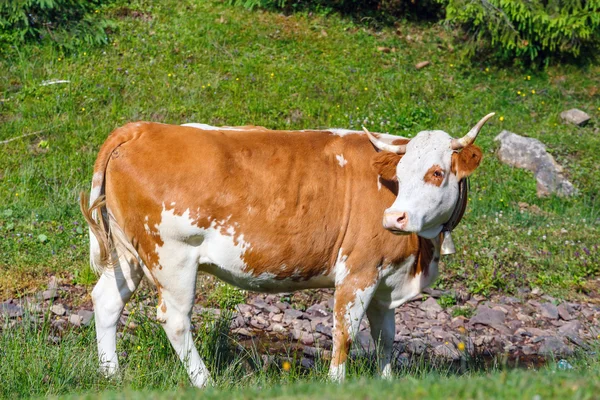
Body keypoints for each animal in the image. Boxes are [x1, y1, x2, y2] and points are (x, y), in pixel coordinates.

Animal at [78, 113, 492, 388]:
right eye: (400, 174)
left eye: (436, 172)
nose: (394, 217)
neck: (420, 256)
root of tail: (142, 128)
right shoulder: (358, 270)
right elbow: (345, 332)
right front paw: (337, 385)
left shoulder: (385, 277)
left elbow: (385, 337)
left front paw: (386, 384)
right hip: (172, 256)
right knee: (175, 320)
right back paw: (205, 383)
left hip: (128, 252)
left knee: (107, 301)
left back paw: (110, 374)